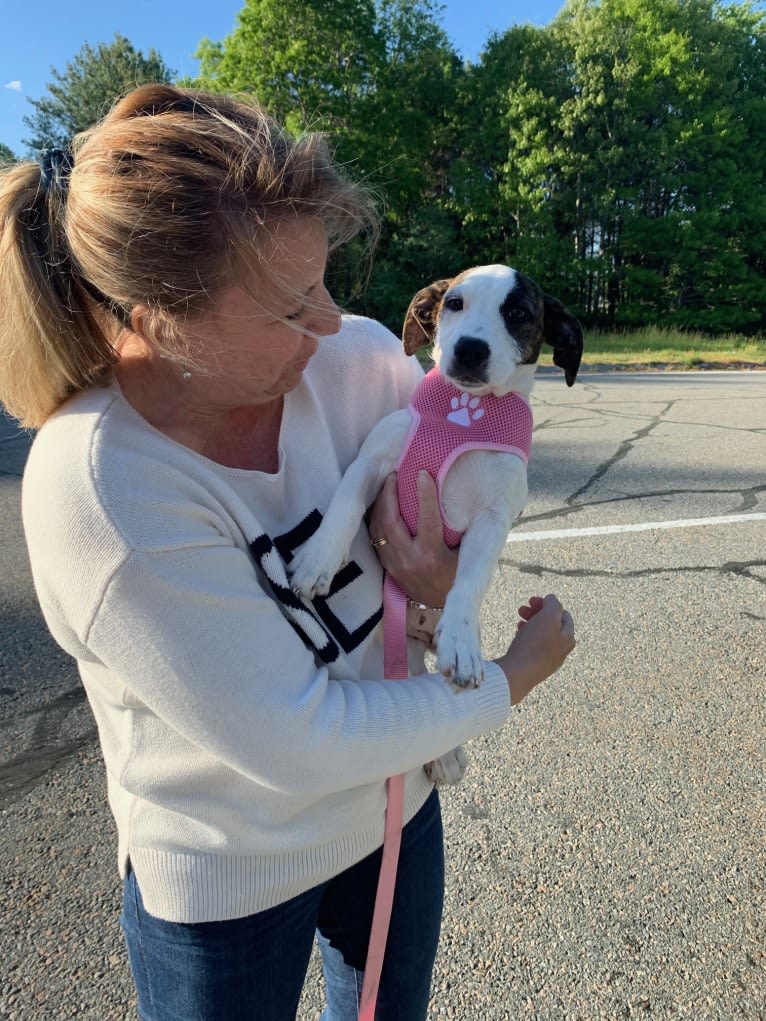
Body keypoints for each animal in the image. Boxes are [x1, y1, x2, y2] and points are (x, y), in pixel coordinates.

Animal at [290, 265, 584, 780]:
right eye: (454, 303)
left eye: (518, 313)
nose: (470, 349)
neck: (462, 419)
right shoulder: (372, 462)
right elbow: (343, 506)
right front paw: (318, 560)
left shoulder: (493, 520)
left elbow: (468, 583)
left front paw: (463, 641)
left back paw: (446, 751)